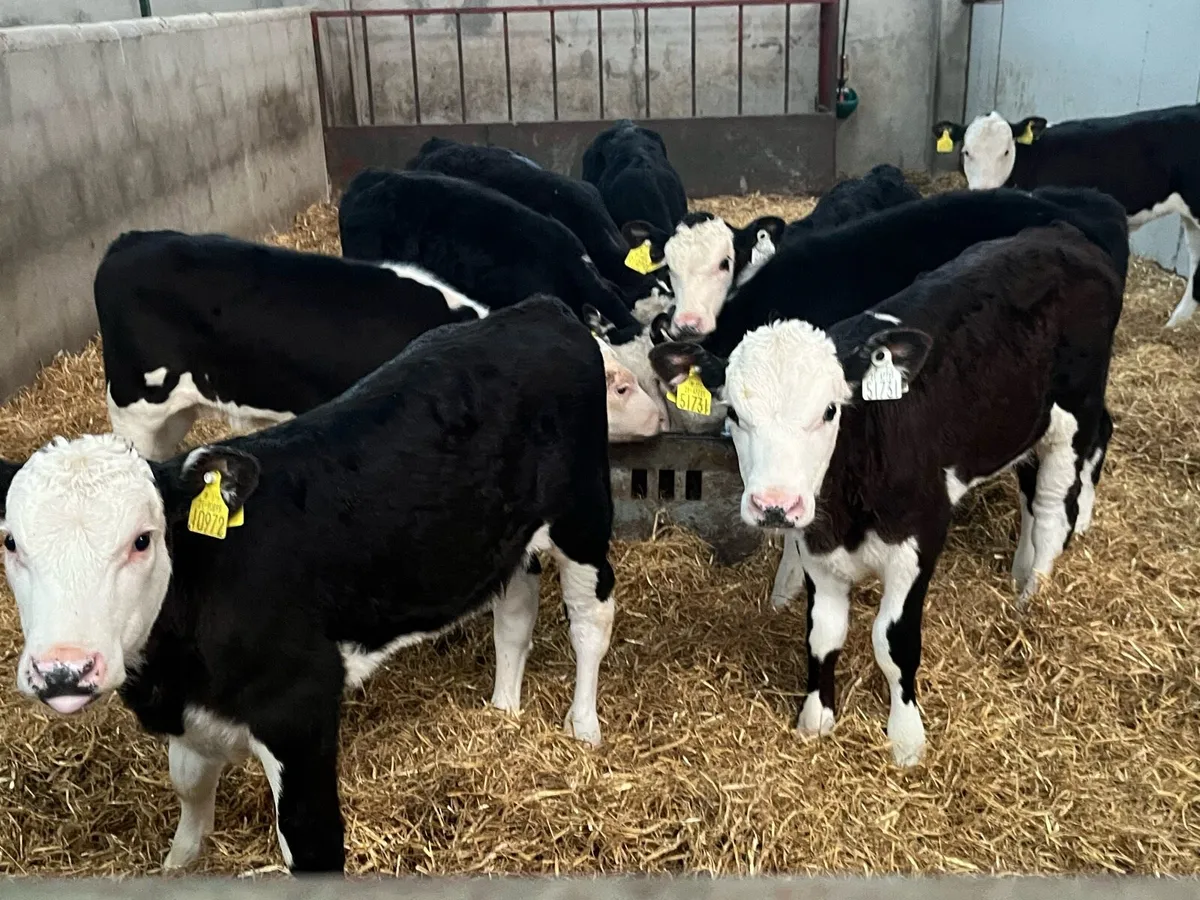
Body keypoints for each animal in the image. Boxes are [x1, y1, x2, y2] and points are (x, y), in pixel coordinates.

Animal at [0, 296, 618, 873]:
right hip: (507, 540)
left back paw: (584, 728)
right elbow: (190, 784)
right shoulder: (193, 717)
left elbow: (311, 839)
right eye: (10, 542)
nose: (64, 669)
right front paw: (180, 860)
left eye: (142, 540)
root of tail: (537, 309)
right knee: (514, 617)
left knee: (591, 622)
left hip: (583, 516)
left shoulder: (300, 709)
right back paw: (502, 711)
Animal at [649, 223, 1124, 767]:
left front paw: (906, 738)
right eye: (734, 414)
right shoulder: (818, 545)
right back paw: (1020, 572)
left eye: (830, 410)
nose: (775, 506)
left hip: (1073, 418)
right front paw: (816, 719)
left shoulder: (920, 538)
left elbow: (892, 641)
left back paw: (1032, 598)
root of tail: (1062, 234)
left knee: (1050, 512)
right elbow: (823, 633)